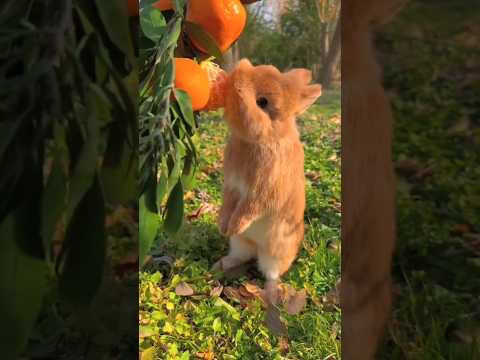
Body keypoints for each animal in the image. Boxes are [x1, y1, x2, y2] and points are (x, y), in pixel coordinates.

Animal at [211, 59, 320, 304]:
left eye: (262, 102)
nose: (236, 75)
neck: (261, 140)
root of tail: (256, 247)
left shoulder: (263, 192)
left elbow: (249, 208)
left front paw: (234, 225)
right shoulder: (232, 186)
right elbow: (229, 203)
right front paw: (223, 226)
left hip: (276, 253)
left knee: (271, 273)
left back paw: (269, 292)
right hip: (240, 243)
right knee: (241, 256)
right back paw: (219, 265)